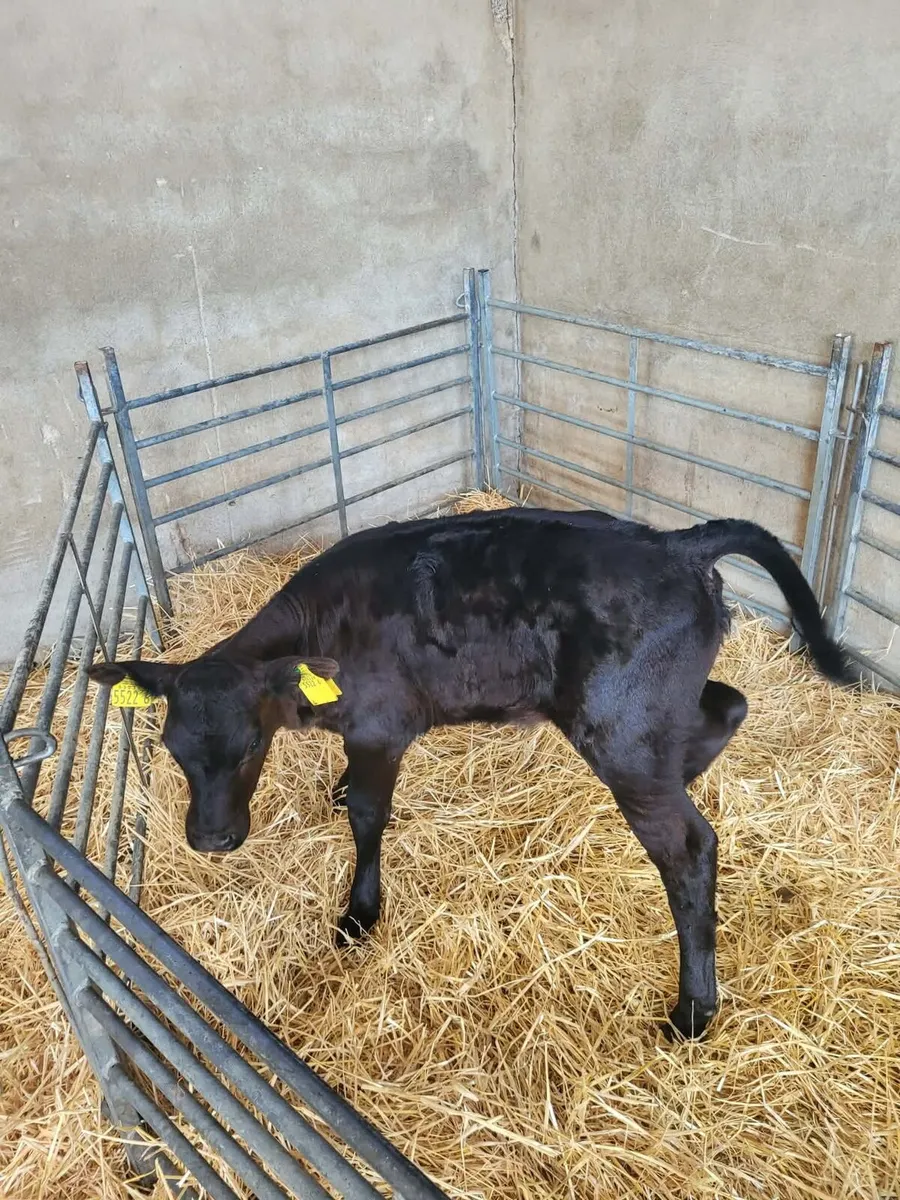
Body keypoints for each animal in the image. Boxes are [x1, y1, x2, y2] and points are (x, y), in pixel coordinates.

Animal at [88, 507, 850, 1039]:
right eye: (170, 747)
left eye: (251, 744)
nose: (211, 839)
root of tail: (672, 544)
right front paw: (337, 794)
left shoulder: (380, 727)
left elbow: (368, 817)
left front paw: (359, 913)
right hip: (655, 709)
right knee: (729, 705)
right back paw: (690, 766)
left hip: (620, 731)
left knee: (689, 848)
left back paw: (693, 1010)